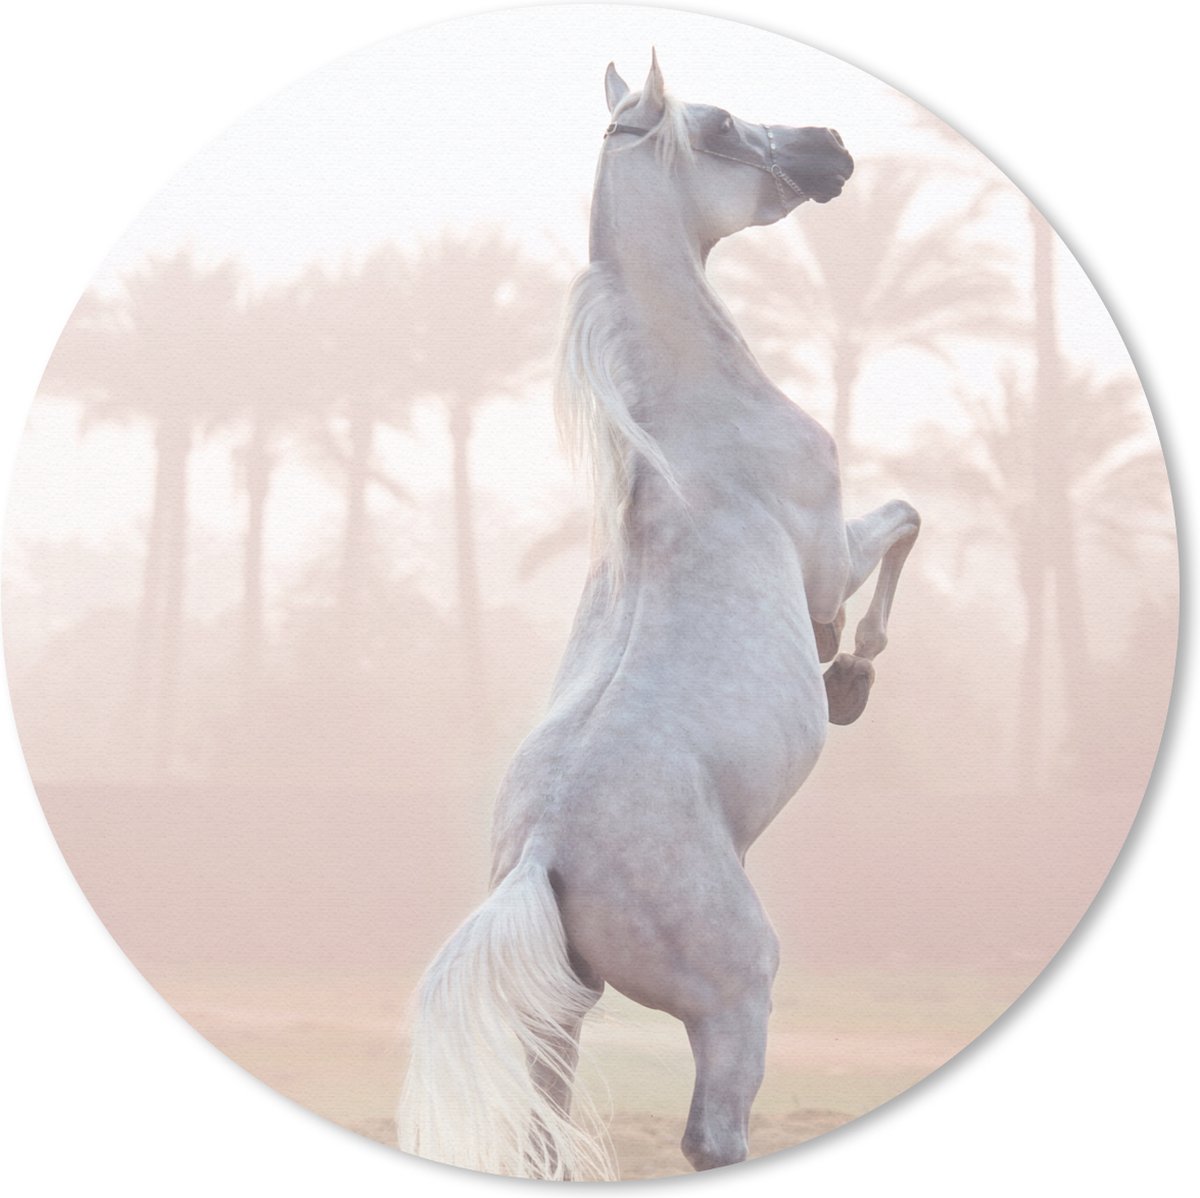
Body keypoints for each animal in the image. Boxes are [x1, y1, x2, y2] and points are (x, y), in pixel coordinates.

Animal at [397, 52, 920, 1180]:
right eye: (718, 126)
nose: (830, 146)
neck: (689, 435)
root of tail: (545, 853)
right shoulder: (828, 561)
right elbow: (904, 526)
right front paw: (849, 677)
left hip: (558, 1019)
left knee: (546, 1140)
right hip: (735, 996)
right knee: (713, 1137)